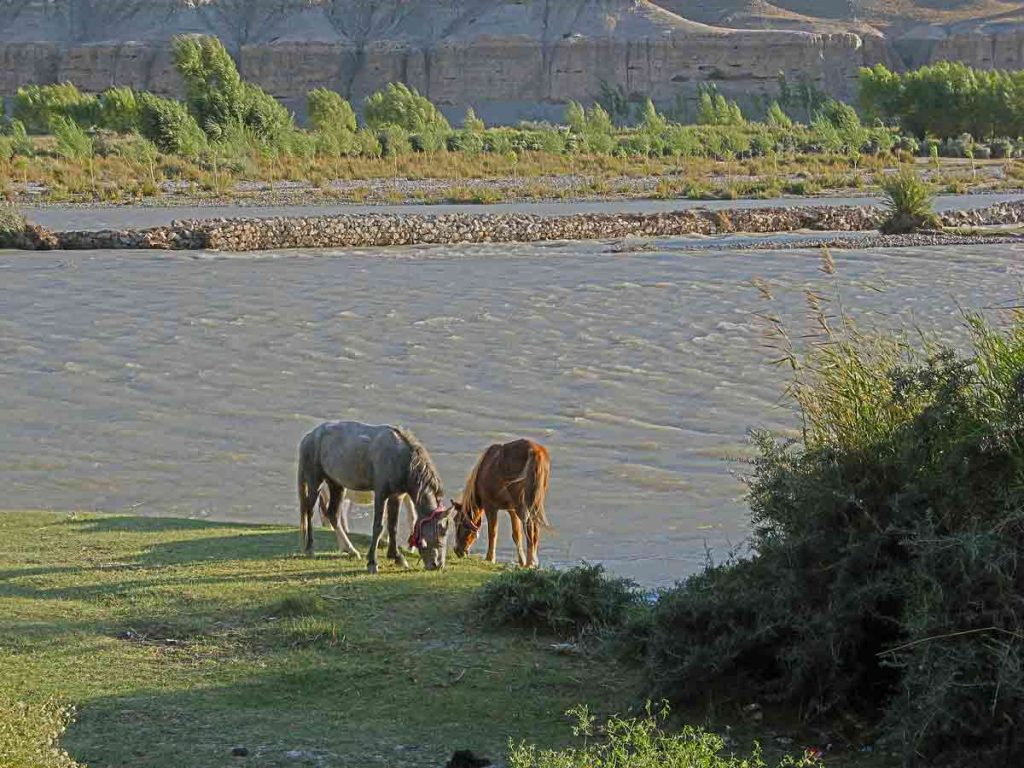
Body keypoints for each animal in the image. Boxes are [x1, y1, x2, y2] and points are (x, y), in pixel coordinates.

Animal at [299, 421, 452, 577]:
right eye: (442, 530)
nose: (438, 564)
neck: (401, 458)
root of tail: (310, 436)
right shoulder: (381, 494)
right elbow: (378, 527)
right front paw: (372, 562)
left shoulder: (396, 496)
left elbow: (393, 526)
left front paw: (396, 557)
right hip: (315, 482)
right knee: (309, 511)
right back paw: (310, 548)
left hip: (336, 485)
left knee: (333, 515)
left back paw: (350, 550)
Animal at [454, 436, 552, 569]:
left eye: (457, 522)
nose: (457, 550)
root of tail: (535, 452)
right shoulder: (511, 509)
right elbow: (516, 535)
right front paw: (521, 561)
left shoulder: (491, 508)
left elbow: (492, 532)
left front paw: (490, 558)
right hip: (532, 504)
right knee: (535, 529)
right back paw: (531, 562)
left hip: (522, 506)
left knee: (529, 527)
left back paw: (529, 563)